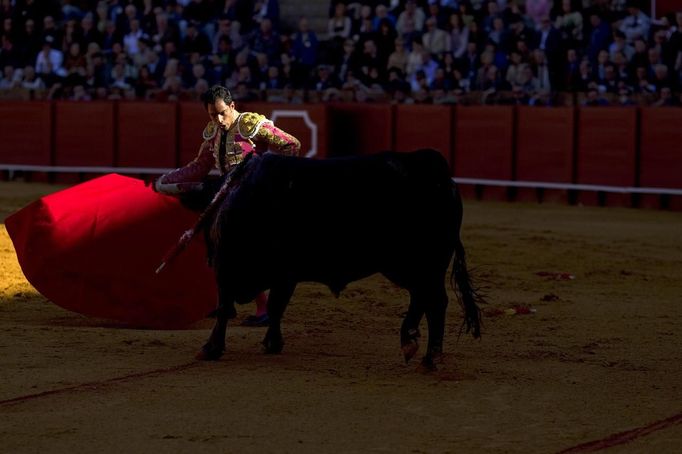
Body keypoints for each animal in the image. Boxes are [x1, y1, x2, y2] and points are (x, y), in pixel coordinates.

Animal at [189, 149, 480, 368]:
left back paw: (429, 356)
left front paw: (211, 348)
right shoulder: (285, 275)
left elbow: (225, 307)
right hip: (417, 268)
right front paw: (272, 343)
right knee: (424, 299)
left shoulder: (228, 268)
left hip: (416, 265)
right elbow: (275, 306)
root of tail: (435, 169)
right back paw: (413, 343)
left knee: (434, 301)